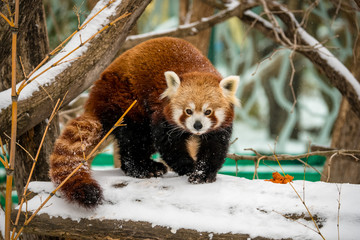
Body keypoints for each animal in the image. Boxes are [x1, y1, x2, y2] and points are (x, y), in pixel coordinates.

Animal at [48, 36, 239, 208]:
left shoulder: (220, 127)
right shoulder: (162, 114)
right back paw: (143, 168)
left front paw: (203, 173)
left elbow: (214, 148)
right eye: (188, 111)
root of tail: (96, 95)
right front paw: (188, 167)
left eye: (208, 111)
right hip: (125, 100)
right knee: (134, 139)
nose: (197, 125)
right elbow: (169, 145)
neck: (198, 68)